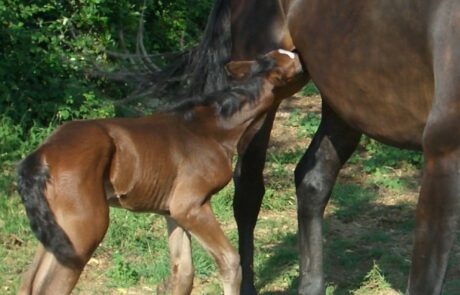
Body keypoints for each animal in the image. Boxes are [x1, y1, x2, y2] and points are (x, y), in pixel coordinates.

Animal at [16, 49, 304, 294]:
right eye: (296, 66)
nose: (301, 52)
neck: (214, 127)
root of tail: (42, 154)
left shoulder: (171, 212)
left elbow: (183, 273)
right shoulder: (190, 204)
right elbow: (230, 262)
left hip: (59, 227)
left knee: (28, 282)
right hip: (84, 228)